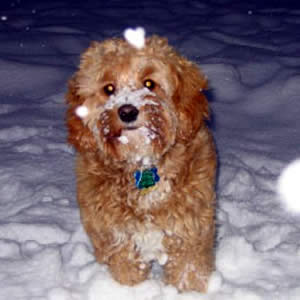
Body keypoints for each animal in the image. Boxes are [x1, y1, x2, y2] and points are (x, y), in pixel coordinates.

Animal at [65, 34, 216, 292]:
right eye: (108, 88)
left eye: (149, 83)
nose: (127, 111)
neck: (142, 165)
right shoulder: (117, 237)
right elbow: (127, 272)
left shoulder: (190, 232)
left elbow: (188, 271)